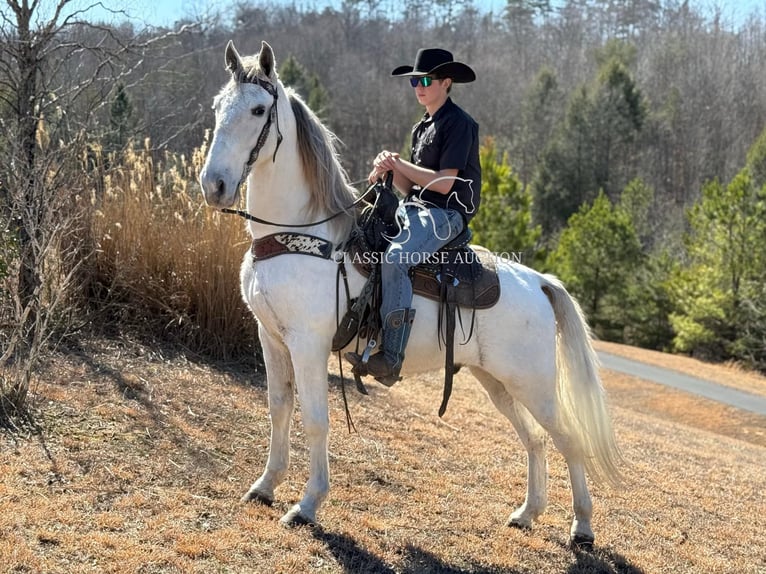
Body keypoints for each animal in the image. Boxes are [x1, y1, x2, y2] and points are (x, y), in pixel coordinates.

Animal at [200, 40, 624, 548]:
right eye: (217, 107)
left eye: (258, 110)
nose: (214, 185)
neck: (304, 232)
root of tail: (540, 283)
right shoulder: (272, 337)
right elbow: (278, 408)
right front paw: (265, 486)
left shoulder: (308, 344)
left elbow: (315, 420)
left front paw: (307, 505)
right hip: (496, 382)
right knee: (535, 440)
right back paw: (527, 514)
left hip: (535, 385)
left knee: (568, 440)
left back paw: (582, 527)